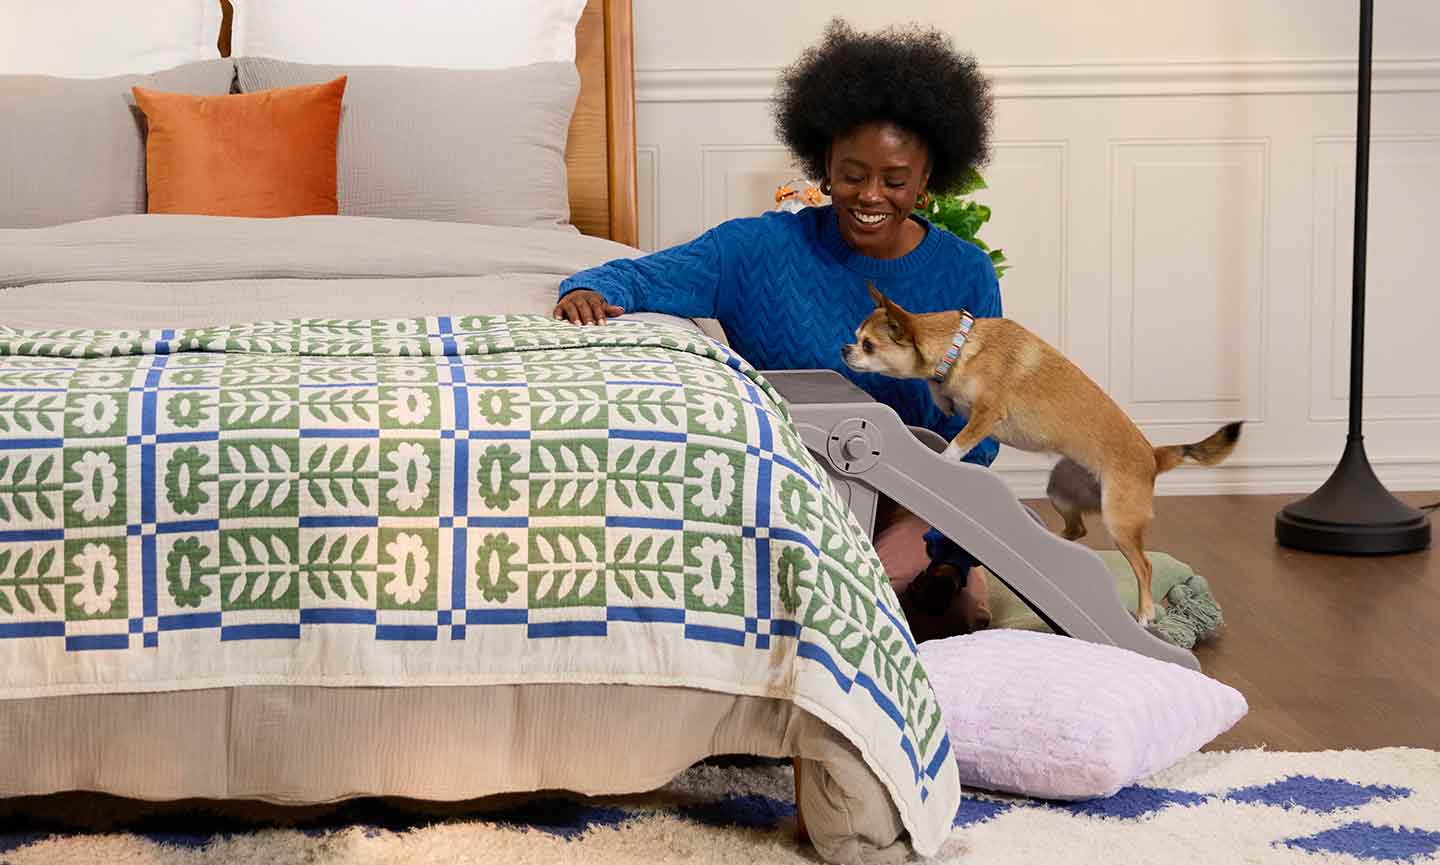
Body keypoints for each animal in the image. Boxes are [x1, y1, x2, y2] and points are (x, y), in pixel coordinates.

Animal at [842, 282, 1242, 625]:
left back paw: (1145, 613)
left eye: (868, 345)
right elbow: (941, 396)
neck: (960, 346)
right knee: (1077, 529)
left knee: (1144, 566)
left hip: (1119, 520)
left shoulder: (987, 416)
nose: (845, 349)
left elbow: (960, 443)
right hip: (1061, 491)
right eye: (856, 339)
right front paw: (941, 395)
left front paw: (944, 460)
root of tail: (1153, 458)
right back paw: (1054, 541)